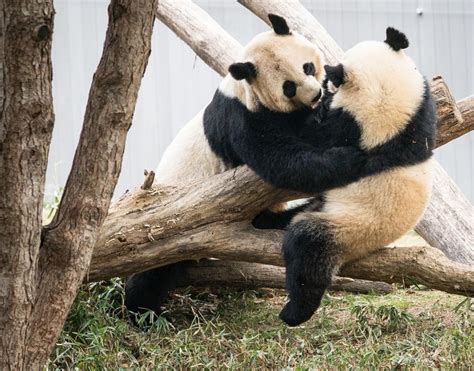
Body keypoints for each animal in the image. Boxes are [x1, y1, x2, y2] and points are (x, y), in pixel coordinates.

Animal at [124, 14, 436, 328]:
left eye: (307, 67)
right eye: (288, 86)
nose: (317, 94)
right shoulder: (242, 116)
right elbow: (280, 158)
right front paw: (346, 159)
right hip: (173, 225)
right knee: (154, 270)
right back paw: (142, 312)